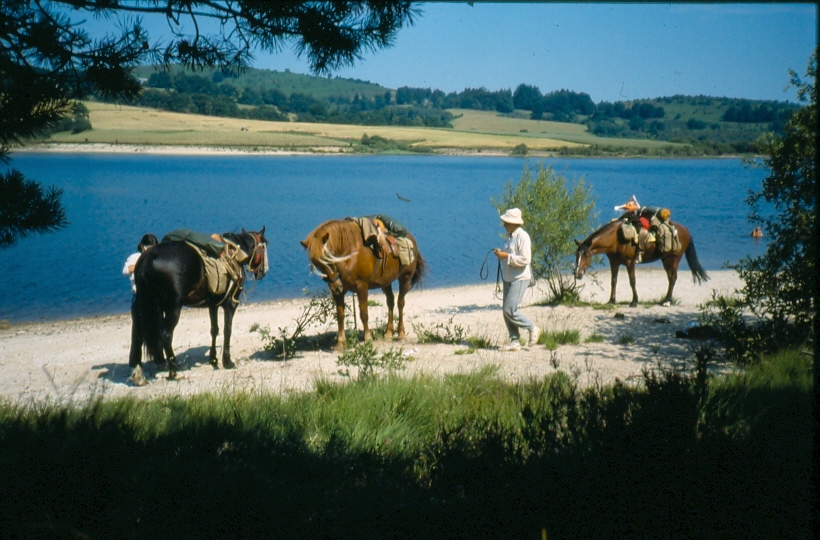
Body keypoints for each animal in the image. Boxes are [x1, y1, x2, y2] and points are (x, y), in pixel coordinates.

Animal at [129, 226, 270, 386]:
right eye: (264, 247)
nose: (263, 271)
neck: (235, 252)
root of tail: (148, 258)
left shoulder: (213, 305)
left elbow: (214, 330)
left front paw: (213, 359)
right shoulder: (230, 304)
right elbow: (227, 330)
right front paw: (227, 361)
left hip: (145, 307)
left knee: (139, 334)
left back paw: (140, 373)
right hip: (172, 308)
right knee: (166, 335)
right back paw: (173, 369)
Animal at [302, 218, 430, 350]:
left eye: (328, 259)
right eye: (316, 264)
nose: (335, 286)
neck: (350, 252)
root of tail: (411, 239)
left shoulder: (362, 287)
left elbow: (364, 313)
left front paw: (367, 338)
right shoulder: (339, 291)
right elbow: (340, 315)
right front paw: (340, 343)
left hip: (405, 279)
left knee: (400, 303)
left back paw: (401, 334)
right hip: (385, 282)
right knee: (390, 301)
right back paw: (389, 333)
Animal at [572, 217, 708, 306]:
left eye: (586, 255)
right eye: (576, 254)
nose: (577, 274)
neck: (616, 238)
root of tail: (685, 230)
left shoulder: (629, 263)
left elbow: (632, 281)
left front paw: (634, 301)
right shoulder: (614, 263)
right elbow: (613, 281)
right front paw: (611, 300)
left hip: (674, 259)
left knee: (673, 278)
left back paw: (667, 301)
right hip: (666, 260)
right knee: (671, 278)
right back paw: (665, 300)